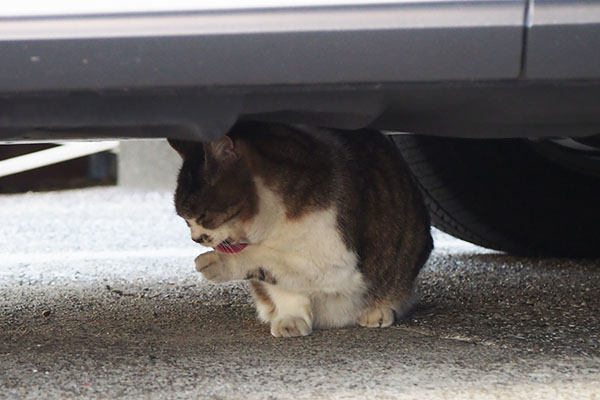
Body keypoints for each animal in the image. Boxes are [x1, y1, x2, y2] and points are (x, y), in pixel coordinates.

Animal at [169, 122, 432, 338]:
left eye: (203, 216)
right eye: (185, 221)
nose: (196, 238)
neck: (271, 227)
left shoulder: (335, 260)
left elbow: (267, 260)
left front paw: (218, 263)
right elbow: (281, 284)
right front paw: (290, 320)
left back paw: (379, 311)